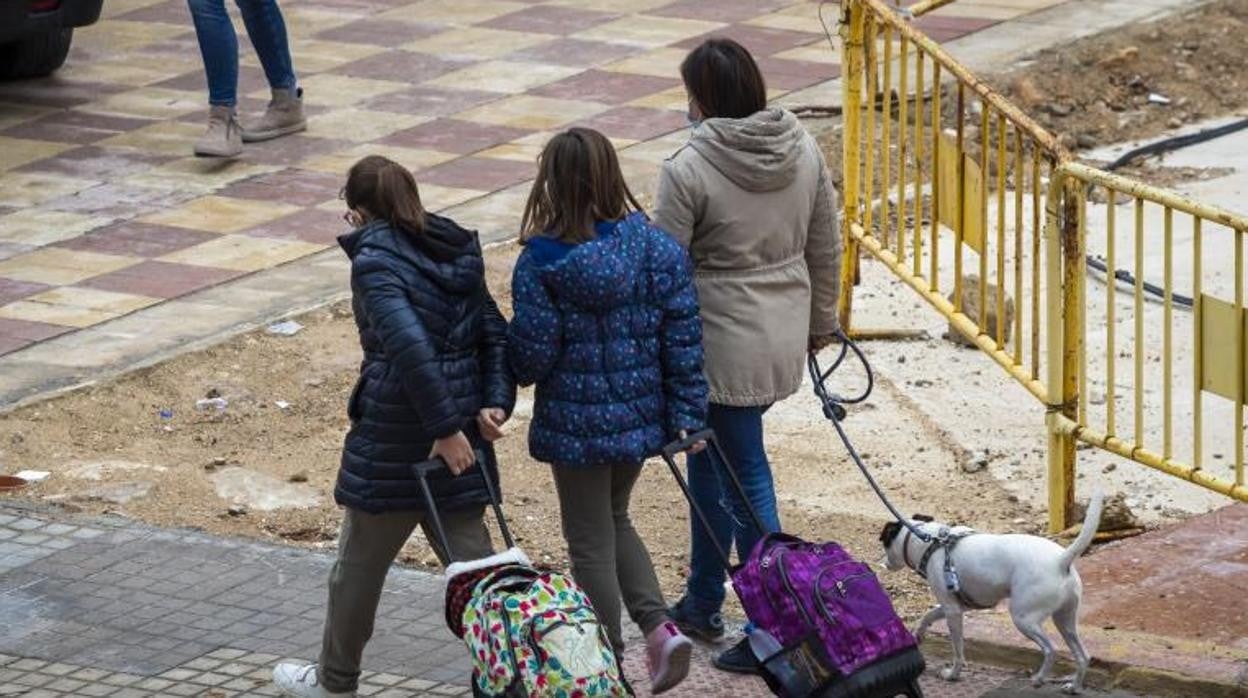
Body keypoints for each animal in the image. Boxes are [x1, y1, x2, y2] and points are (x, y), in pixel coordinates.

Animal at [878, 494, 1103, 694]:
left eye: (885, 543)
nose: (884, 563)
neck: (929, 543)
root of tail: (1061, 561)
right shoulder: (955, 606)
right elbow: (928, 615)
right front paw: (919, 633)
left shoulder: (953, 612)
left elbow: (958, 650)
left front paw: (953, 674)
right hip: (1065, 620)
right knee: (1083, 656)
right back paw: (1074, 687)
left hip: (1024, 619)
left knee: (1051, 649)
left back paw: (1039, 679)